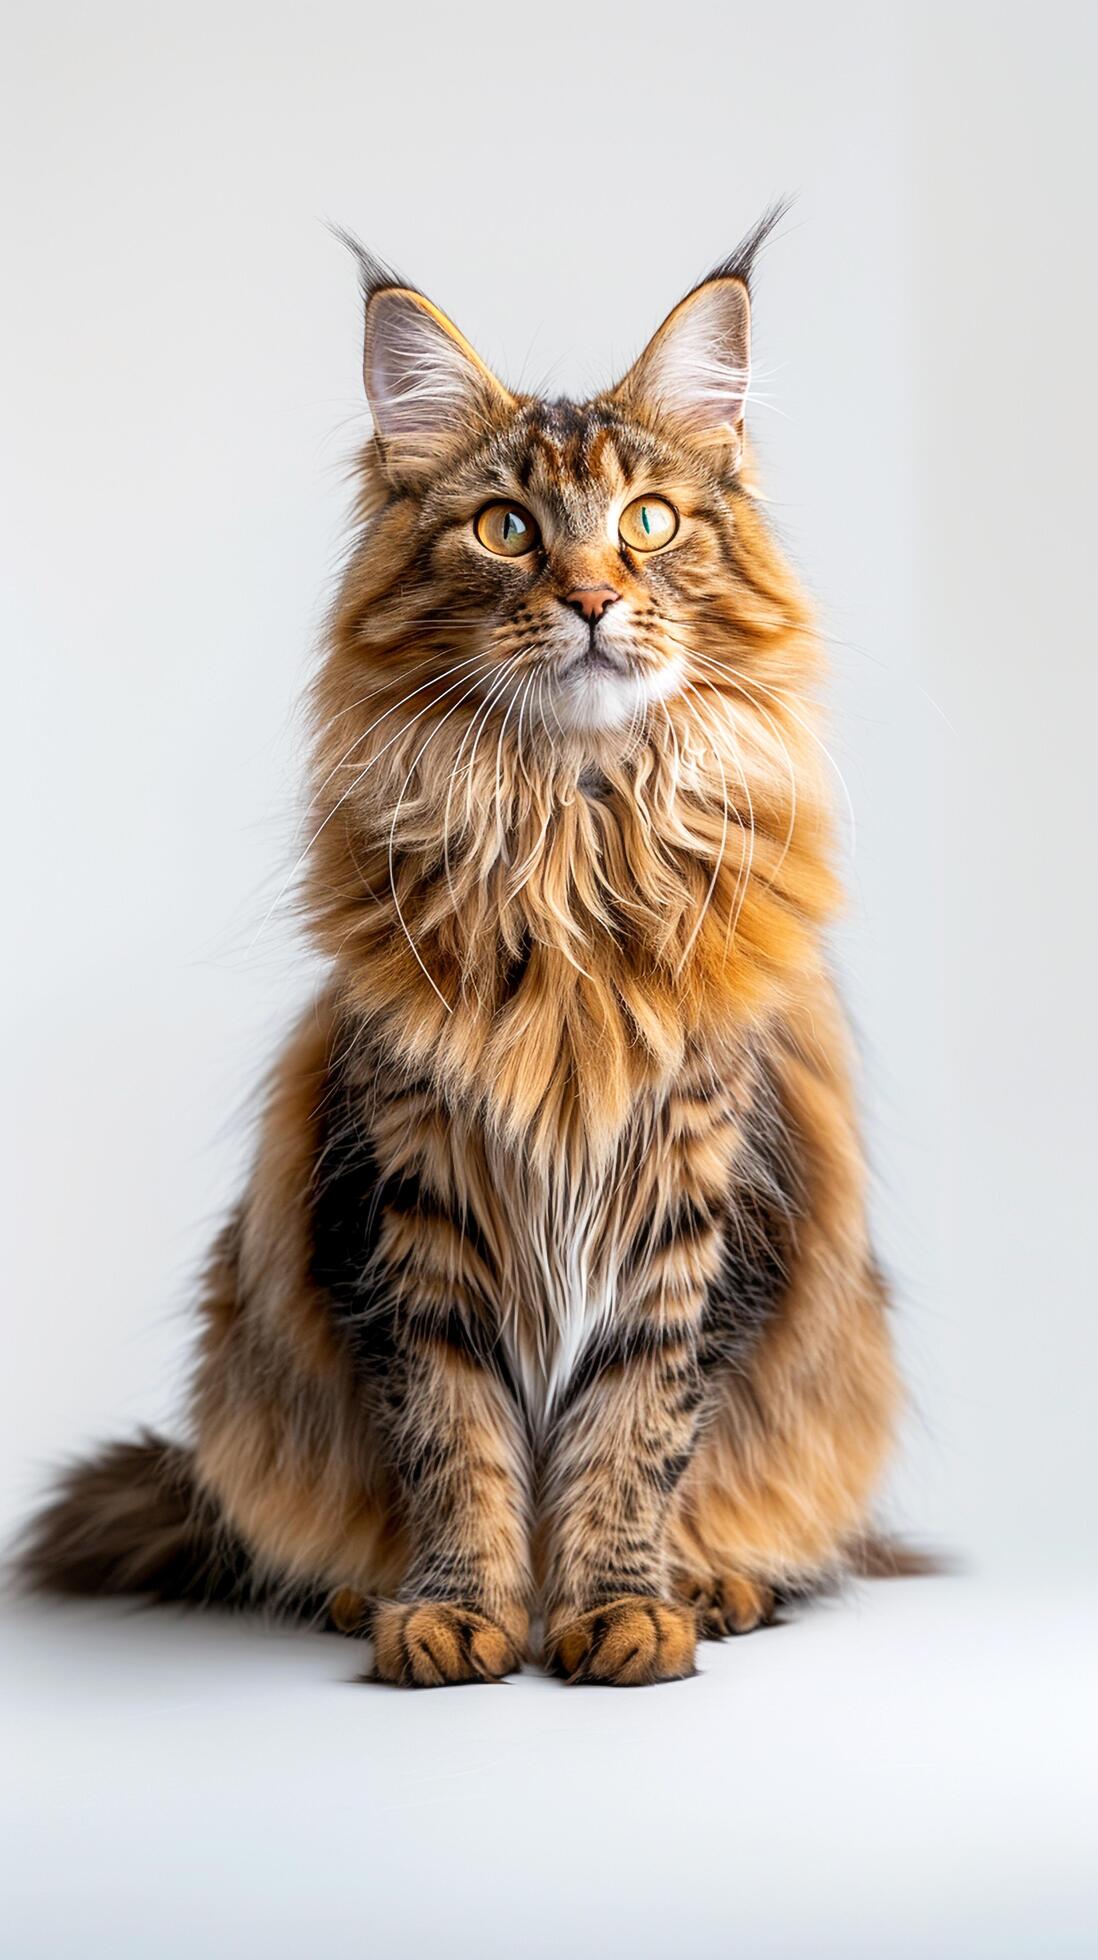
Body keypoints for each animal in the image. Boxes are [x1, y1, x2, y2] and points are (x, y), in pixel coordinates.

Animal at [21, 210, 909, 1685]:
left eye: (648, 521)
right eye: (507, 530)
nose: (594, 598)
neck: (569, 845)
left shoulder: (692, 1205)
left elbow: (635, 1433)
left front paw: (620, 1609)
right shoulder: (407, 1201)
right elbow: (454, 1437)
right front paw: (456, 1614)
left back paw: (713, 1586)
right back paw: (356, 1594)